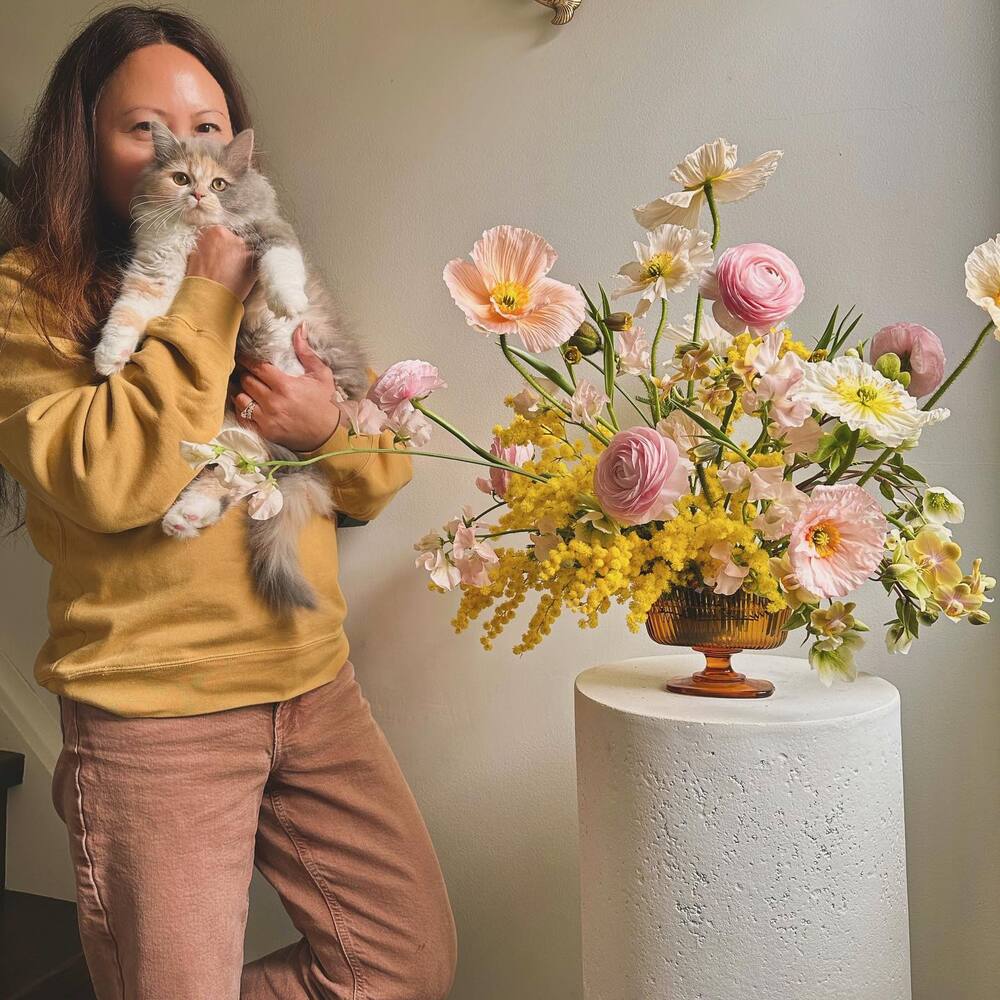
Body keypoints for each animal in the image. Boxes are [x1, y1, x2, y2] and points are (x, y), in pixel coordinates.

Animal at [91, 121, 368, 612]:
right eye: (181, 178)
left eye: (220, 184)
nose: (200, 195)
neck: (197, 238)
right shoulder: (155, 274)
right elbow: (127, 314)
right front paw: (109, 357)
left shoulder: (270, 232)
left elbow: (280, 264)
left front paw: (287, 301)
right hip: (229, 441)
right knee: (232, 481)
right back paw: (184, 519)